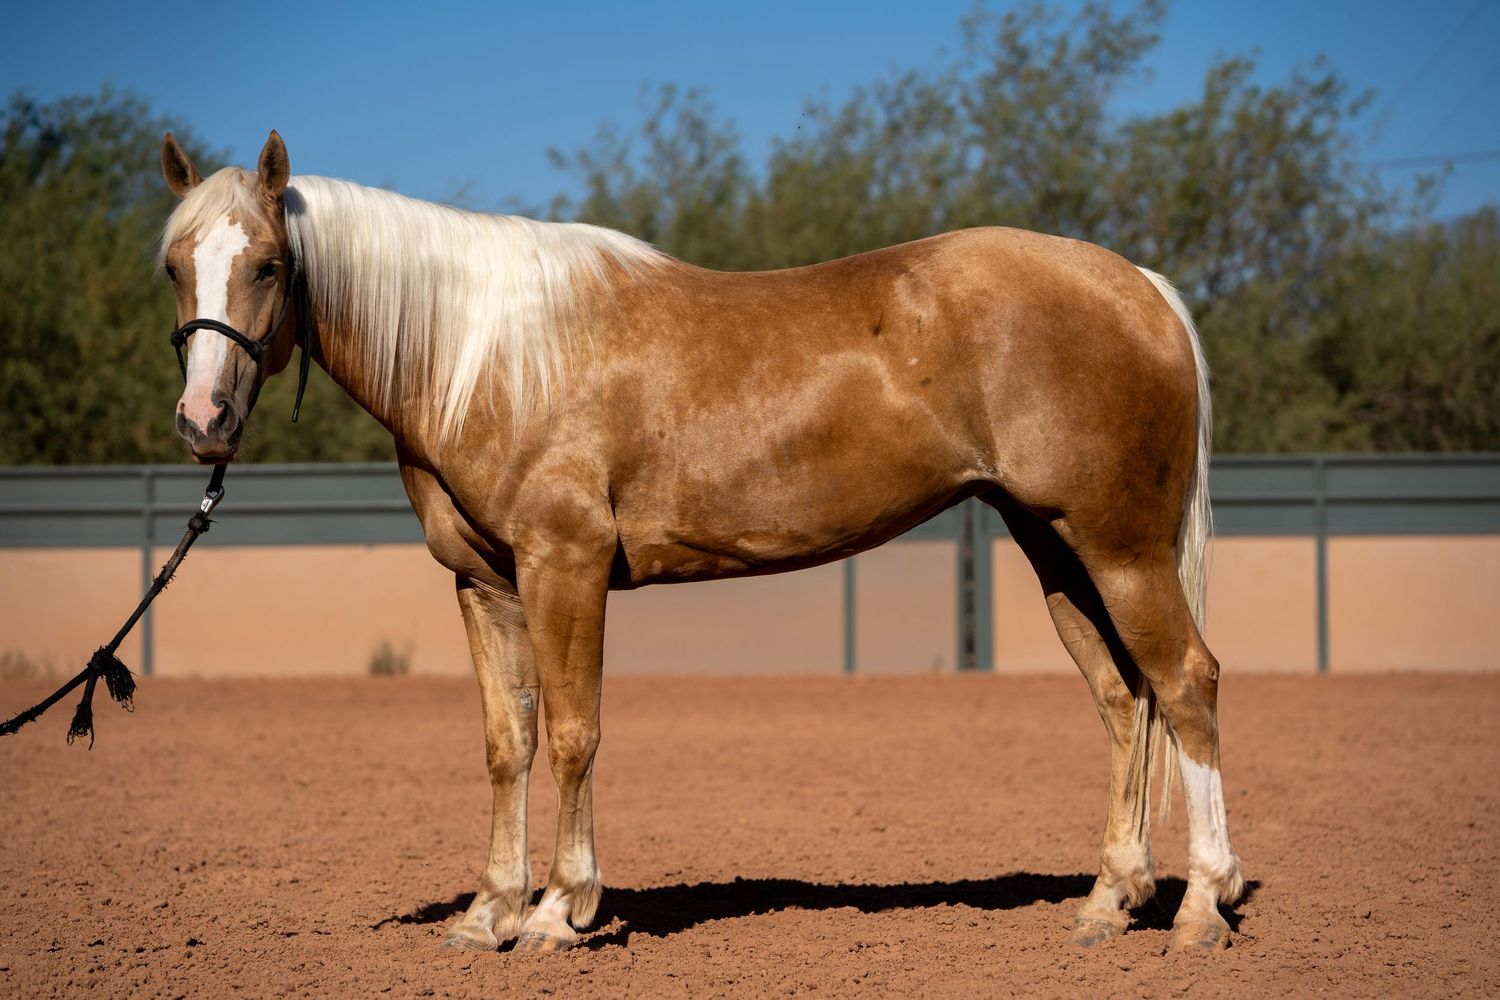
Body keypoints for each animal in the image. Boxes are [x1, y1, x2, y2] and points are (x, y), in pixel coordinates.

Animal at [156, 130, 1243, 953]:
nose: (204, 420)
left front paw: (559, 911)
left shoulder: (566, 566)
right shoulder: (485, 583)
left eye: (268, 264)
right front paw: (488, 911)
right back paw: (1109, 900)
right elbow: (508, 742)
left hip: (1120, 546)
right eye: (173, 265)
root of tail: (1141, 286)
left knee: (1186, 682)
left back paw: (1201, 905)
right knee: (1123, 698)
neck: (489, 353)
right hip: (1054, 544)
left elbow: (574, 731)